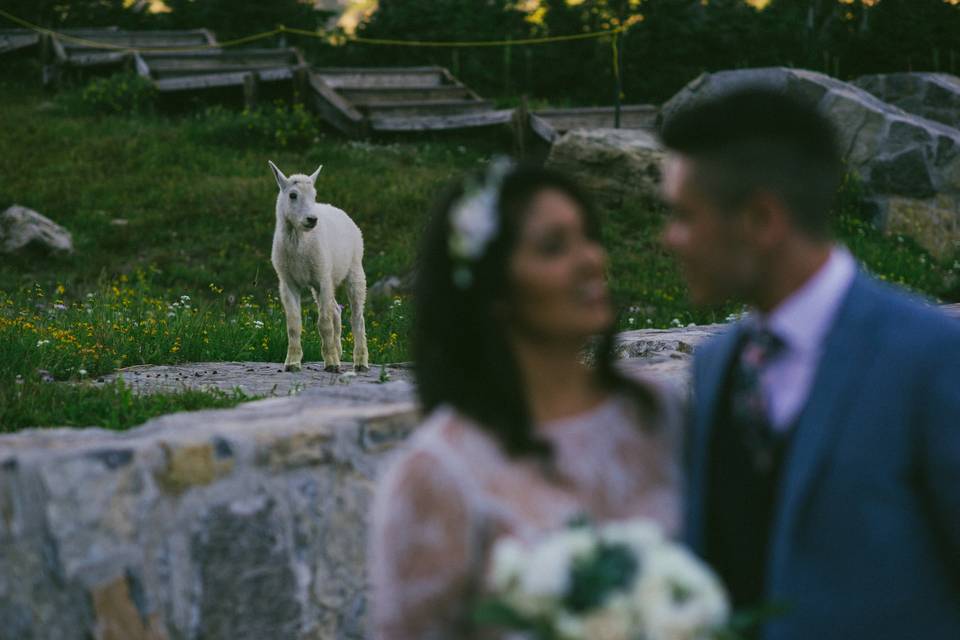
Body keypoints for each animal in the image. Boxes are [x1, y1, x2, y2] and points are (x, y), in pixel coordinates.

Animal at [268, 160, 370, 372]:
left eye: (314, 195)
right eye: (292, 195)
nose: (312, 219)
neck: (299, 241)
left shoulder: (323, 278)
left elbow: (324, 323)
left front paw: (331, 363)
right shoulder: (288, 282)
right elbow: (293, 324)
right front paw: (292, 363)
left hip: (354, 268)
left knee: (357, 317)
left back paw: (360, 361)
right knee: (336, 310)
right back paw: (339, 351)